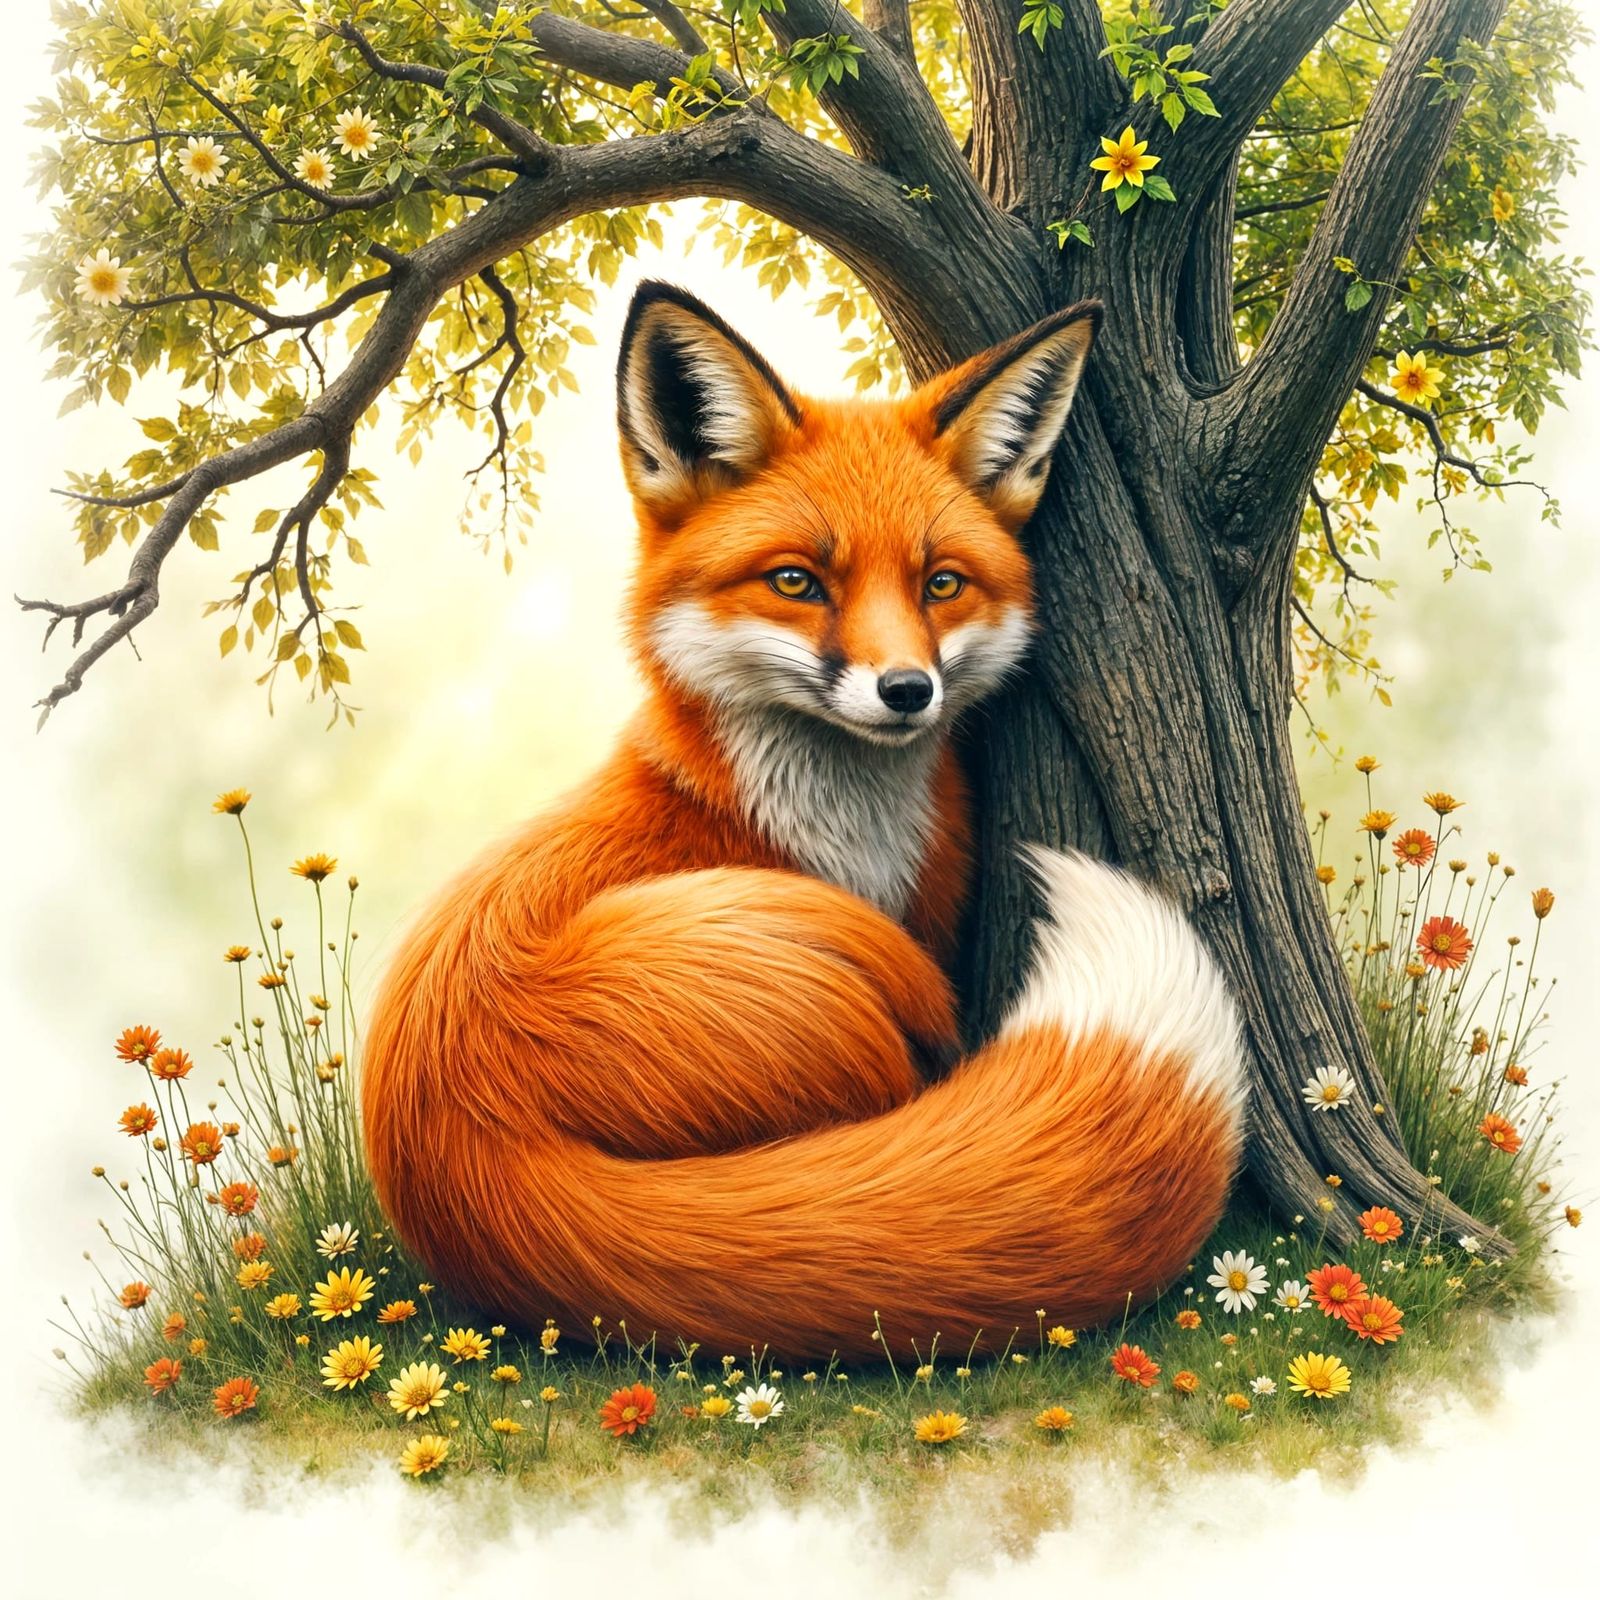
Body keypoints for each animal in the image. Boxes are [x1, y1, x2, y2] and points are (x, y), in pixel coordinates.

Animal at [362, 281, 1247, 1361]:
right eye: (797, 581)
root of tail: (464, 1158)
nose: (906, 690)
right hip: (835, 1001)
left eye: (940, 583)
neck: (832, 842)